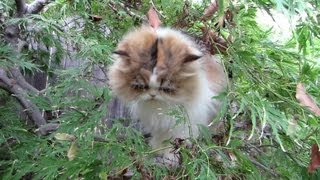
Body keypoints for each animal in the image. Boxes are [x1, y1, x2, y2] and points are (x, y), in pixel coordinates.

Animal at [109, 25, 226, 165]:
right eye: (142, 87)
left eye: (165, 88)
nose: (153, 94)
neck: (158, 108)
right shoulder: (158, 124)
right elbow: (160, 138)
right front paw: (156, 148)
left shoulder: (183, 123)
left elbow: (174, 141)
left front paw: (168, 156)